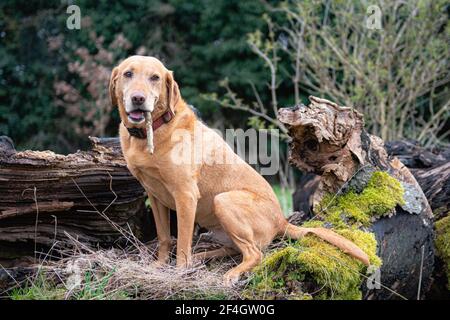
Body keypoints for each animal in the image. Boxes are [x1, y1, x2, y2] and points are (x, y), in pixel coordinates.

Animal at [109, 55, 370, 284]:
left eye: (154, 77)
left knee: (254, 254)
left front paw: (179, 272)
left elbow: (182, 241)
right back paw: (201, 258)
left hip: (224, 200)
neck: (153, 130)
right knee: (234, 251)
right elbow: (164, 237)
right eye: (128, 74)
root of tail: (281, 221)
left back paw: (228, 273)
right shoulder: (154, 196)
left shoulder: (185, 196)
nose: (138, 98)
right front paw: (160, 265)